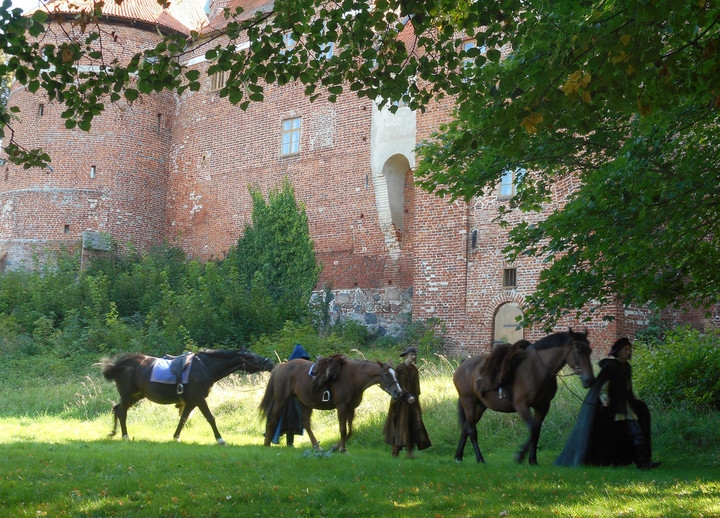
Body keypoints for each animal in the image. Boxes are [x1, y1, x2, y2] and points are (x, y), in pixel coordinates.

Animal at [104, 350, 276, 446]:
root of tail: (119, 364)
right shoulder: (199, 399)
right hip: (127, 395)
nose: (272, 364)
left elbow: (183, 419)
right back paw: (125, 435)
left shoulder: (192, 402)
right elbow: (210, 418)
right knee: (122, 412)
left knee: (117, 409)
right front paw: (220, 439)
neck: (205, 367)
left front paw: (176, 437)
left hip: (136, 396)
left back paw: (113, 432)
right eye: (253, 357)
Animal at [258, 356, 404, 452]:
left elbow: (350, 430)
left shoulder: (351, 409)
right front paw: (342, 449)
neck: (354, 377)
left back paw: (317, 446)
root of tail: (282, 366)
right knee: (273, 419)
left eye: (396, 374)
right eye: (386, 374)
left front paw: (336, 446)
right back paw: (267, 443)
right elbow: (343, 429)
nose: (398, 392)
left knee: (306, 424)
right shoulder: (342, 407)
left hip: (305, 403)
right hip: (281, 400)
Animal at [452, 332, 592, 470]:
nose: (588, 379)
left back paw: (458, 457)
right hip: (468, 402)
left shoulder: (543, 406)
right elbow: (533, 429)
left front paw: (532, 460)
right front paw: (520, 456)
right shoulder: (522, 406)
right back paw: (479, 458)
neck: (537, 370)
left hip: (480, 406)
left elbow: (537, 431)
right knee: (472, 431)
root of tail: (463, 365)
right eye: (578, 351)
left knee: (466, 428)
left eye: (589, 351)